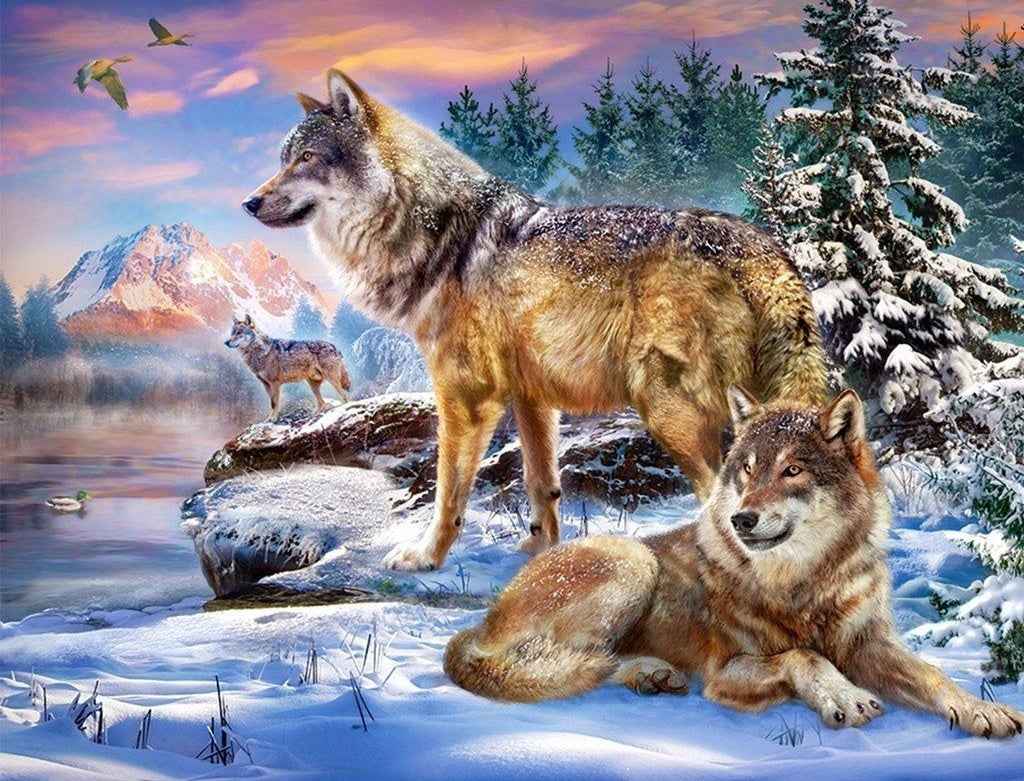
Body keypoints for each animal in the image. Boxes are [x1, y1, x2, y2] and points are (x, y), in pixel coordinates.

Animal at [242, 69, 828, 571]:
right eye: (283, 159)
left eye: (307, 158)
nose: (249, 202)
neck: (434, 235)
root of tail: (761, 251)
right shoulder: (531, 399)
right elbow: (541, 486)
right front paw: (539, 554)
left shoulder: (466, 396)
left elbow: (448, 493)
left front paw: (426, 558)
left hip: (669, 414)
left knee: (724, 513)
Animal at [443, 387, 1024, 738]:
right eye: (746, 469)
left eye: (792, 470)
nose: (743, 519)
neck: (803, 584)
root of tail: (481, 623)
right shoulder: (725, 672)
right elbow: (804, 657)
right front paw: (844, 697)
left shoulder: (868, 644)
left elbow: (933, 677)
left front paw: (984, 711)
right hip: (631, 561)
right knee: (568, 664)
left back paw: (653, 675)